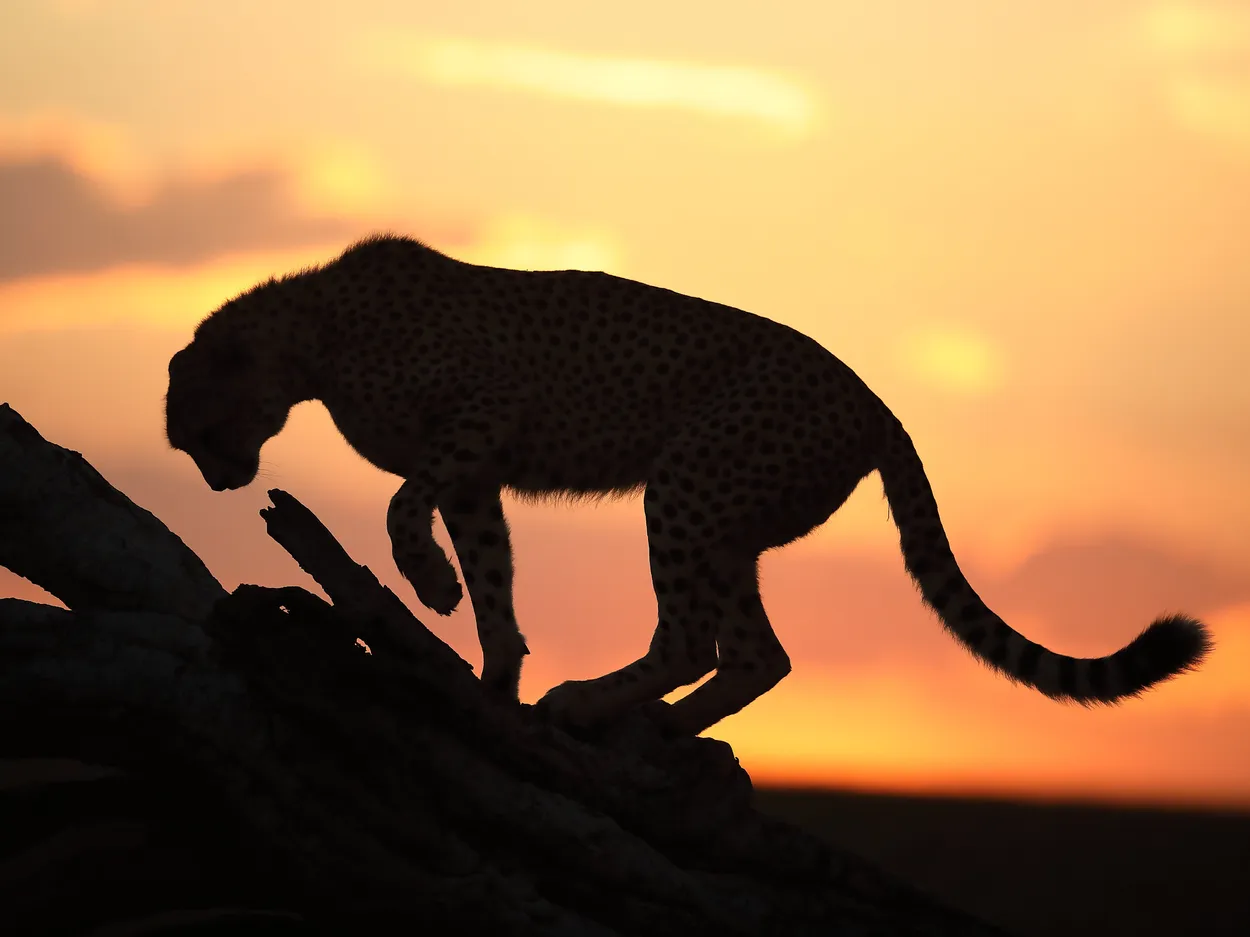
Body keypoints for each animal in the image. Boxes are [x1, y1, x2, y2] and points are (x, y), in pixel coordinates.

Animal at [165, 234, 1210, 736]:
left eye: (193, 427)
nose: (215, 481)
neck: (311, 338)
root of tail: (874, 397)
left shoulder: (486, 420)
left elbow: (400, 503)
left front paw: (428, 582)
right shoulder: (479, 475)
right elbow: (495, 573)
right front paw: (494, 670)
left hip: (685, 481)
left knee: (689, 636)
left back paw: (593, 702)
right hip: (730, 521)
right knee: (755, 653)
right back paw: (664, 729)